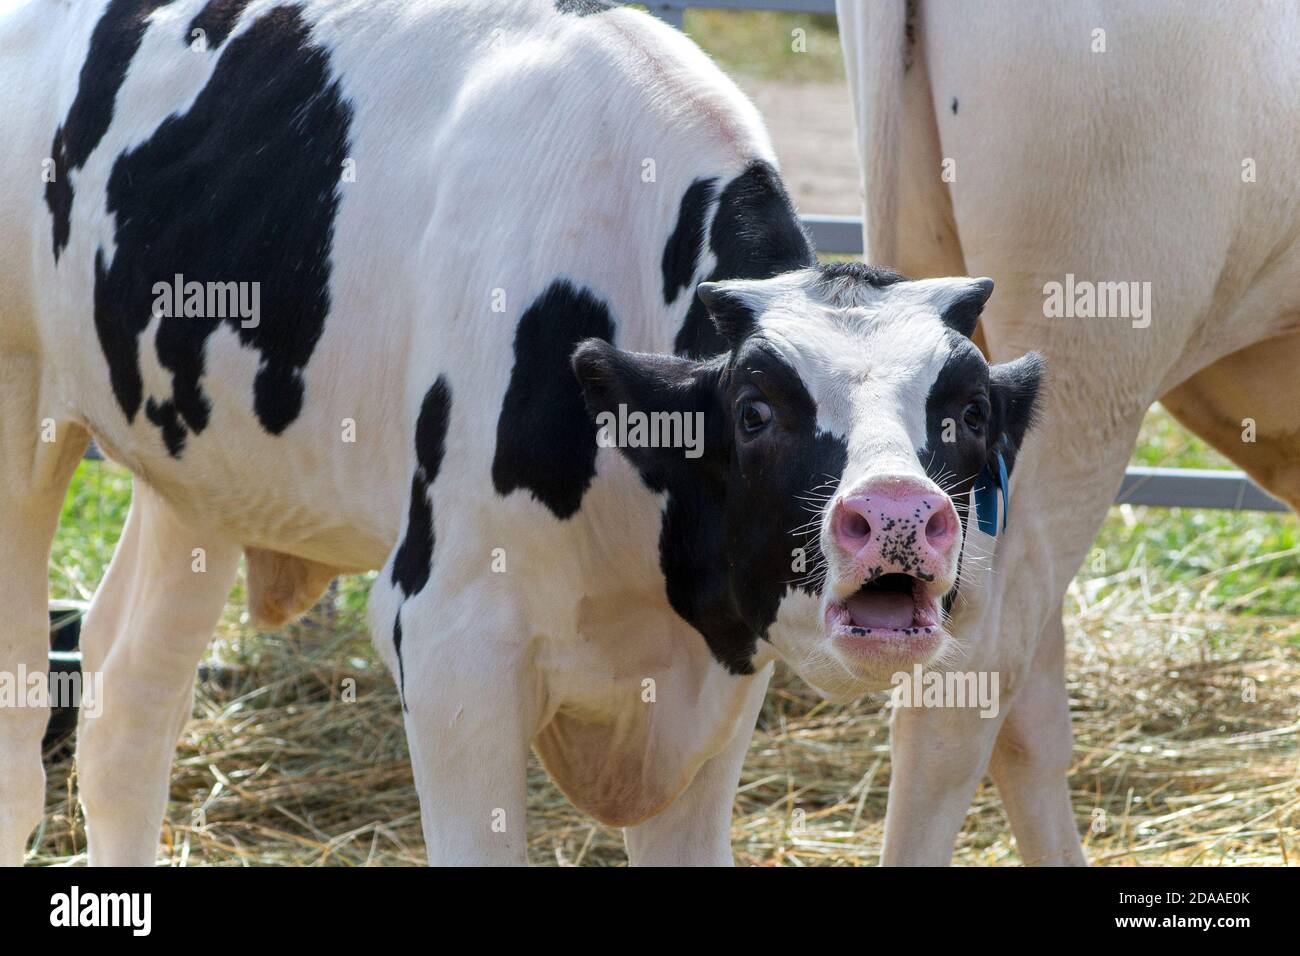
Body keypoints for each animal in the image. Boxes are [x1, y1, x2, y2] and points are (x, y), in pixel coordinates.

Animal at [0, 0, 1040, 868]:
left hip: (202, 477)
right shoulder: (447, 636)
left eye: (967, 414)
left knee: (128, 708)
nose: (896, 514)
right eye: (754, 410)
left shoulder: (716, 673)